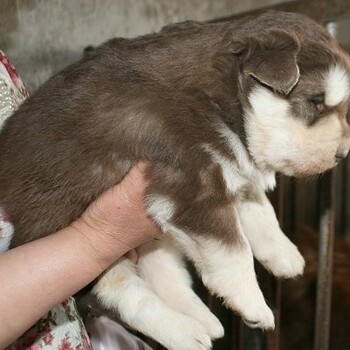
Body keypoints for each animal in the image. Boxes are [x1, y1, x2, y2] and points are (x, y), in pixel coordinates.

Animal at [0, 10, 350, 350]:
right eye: (316, 101)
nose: (343, 153)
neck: (218, 99)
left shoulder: (229, 168)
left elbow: (260, 211)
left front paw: (286, 254)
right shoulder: (190, 184)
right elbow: (234, 250)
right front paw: (254, 304)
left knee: (164, 272)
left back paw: (202, 319)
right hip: (72, 242)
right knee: (121, 295)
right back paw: (185, 332)